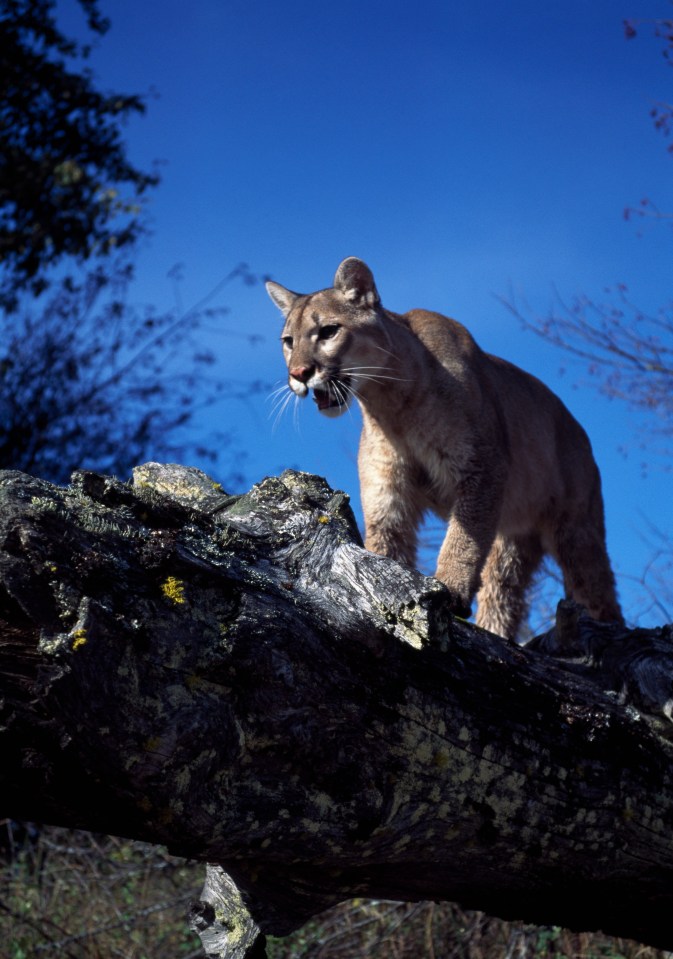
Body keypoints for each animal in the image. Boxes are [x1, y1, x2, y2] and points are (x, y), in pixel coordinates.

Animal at [266, 258, 624, 640]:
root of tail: (577, 428)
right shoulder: (388, 495)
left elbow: (462, 539)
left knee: (597, 591)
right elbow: (387, 552)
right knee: (502, 593)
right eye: (288, 341)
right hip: (511, 540)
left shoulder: (481, 468)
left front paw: (450, 589)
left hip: (576, 529)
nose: (299, 373)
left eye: (329, 331)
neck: (390, 407)